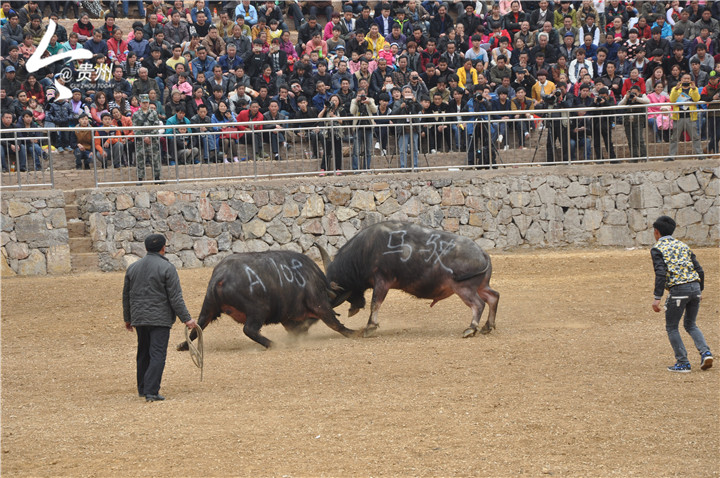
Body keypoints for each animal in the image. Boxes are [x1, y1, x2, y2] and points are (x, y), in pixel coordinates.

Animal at [178, 252, 358, 350]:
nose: (304, 331)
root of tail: (220, 277)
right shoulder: (319, 303)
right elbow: (334, 322)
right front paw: (357, 332)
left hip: (208, 307)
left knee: (198, 326)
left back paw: (183, 345)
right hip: (258, 310)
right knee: (249, 329)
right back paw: (273, 344)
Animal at [318, 220, 498, 336]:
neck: (366, 250)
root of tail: (483, 254)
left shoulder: (382, 281)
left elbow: (375, 303)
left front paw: (370, 327)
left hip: (464, 288)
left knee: (478, 304)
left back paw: (471, 328)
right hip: (481, 286)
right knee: (493, 297)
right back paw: (487, 326)